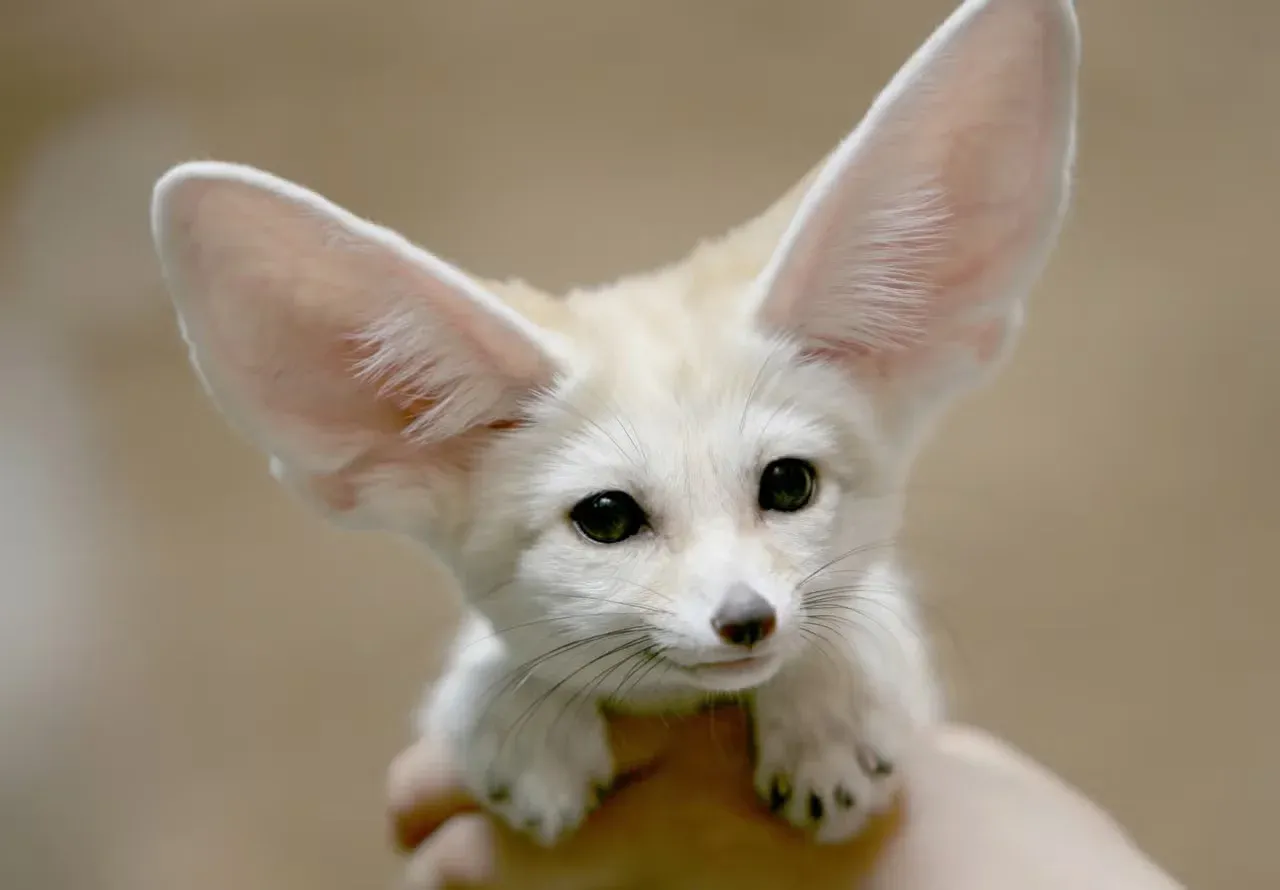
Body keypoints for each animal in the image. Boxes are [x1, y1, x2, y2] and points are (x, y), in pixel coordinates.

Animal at [150, 0, 1079, 849]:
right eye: (606, 518)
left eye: (788, 483)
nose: (747, 620)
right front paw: (518, 712)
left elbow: (857, 607)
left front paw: (829, 711)